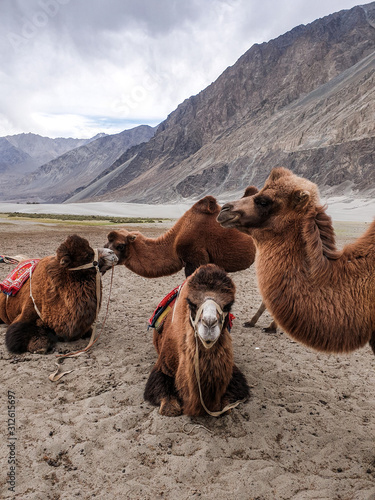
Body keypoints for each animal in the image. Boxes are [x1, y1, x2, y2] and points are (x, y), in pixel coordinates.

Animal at [104, 188, 278, 332]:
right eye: (106, 243)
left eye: (120, 245)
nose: (100, 261)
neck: (176, 239)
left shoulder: (194, 259)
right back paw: (253, 322)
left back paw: (270, 327)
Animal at [144, 264, 250, 416]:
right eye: (191, 304)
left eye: (228, 306)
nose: (209, 322)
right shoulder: (163, 366)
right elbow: (162, 393)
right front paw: (170, 407)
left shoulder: (233, 372)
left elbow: (233, 397)